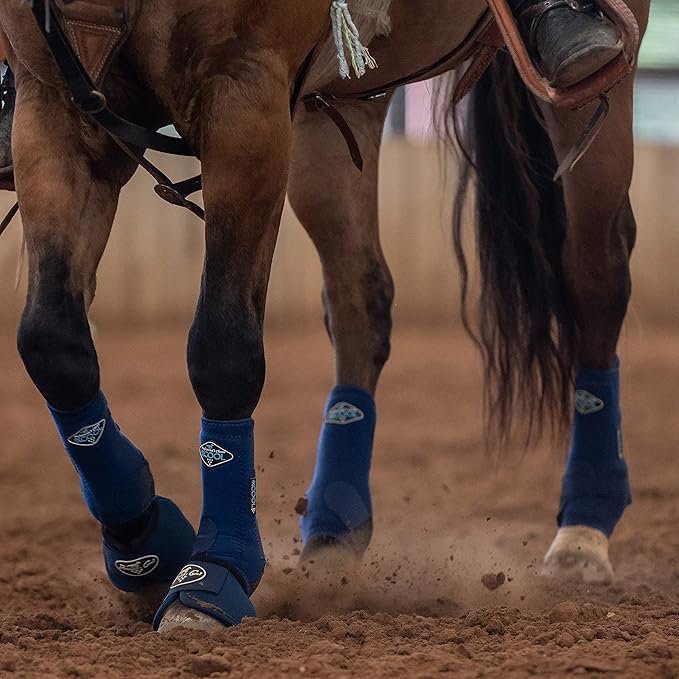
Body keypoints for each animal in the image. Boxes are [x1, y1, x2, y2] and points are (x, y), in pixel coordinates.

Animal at [0, 0, 649, 632]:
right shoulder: (53, 99)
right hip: (337, 111)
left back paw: (583, 531)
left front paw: (215, 571)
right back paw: (333, 530)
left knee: (596, 276)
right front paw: (146, 546)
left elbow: (224, 352)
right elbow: (53, 344)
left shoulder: (247, 100)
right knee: (360, 301)